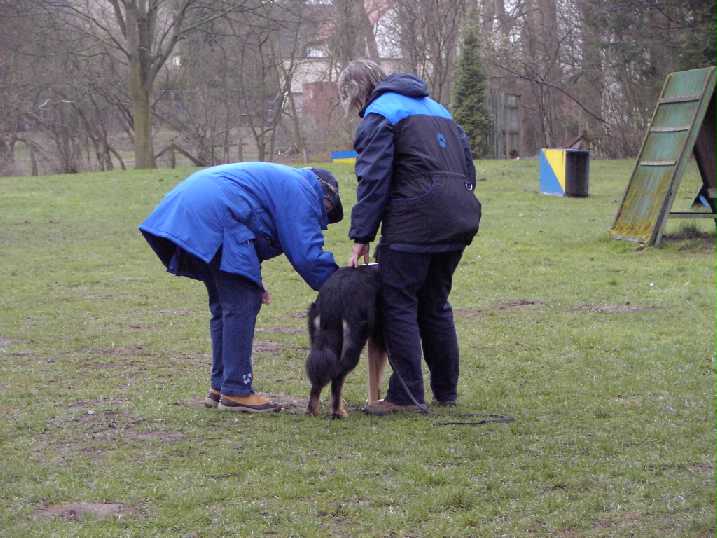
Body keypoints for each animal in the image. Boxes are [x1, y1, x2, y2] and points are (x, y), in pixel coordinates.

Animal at [305, 264, 387, 418]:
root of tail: (335, 292)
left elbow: (374, 378)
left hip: (323, 346)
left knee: (318, 378)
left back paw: (313, 411)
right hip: (353, 345)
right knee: (337, 377)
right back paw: (338, 412)